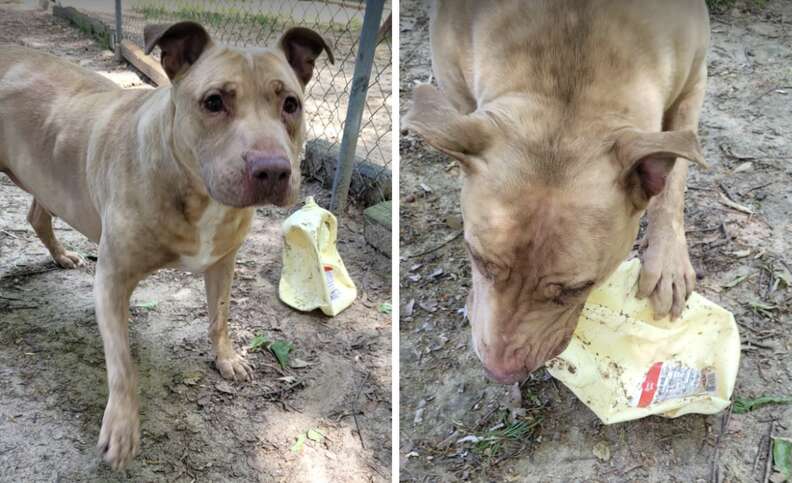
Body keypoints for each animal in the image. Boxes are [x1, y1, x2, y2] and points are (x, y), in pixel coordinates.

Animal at [0, 21, 332, 468]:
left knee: (37, 214)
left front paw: (227, 358)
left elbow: (219, 317)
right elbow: (123, 363)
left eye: (291, 104)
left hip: (48, 176)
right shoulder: (112, 281)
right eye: (213, 101)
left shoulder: (224, 262)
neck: (194, 190)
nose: (273, 170)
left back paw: (62, 255)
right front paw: (122, 427)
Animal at [406, 0, 708, 386]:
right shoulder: (458, 94)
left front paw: (668, 260)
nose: (498, 372)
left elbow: (673, 181)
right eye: (478, 258)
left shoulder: (693, 84)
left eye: (575, 289)